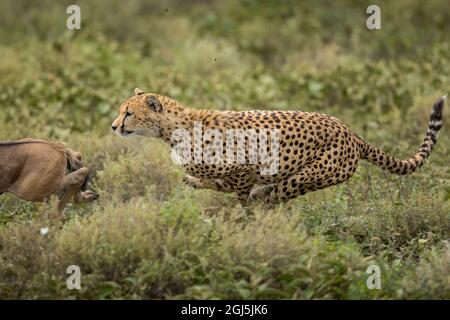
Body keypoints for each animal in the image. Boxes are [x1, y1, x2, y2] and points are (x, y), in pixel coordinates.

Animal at [110, 88, 444, 205]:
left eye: (129, 113)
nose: (114, 126)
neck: (172, 130)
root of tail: (351, 132)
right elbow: (218, 183)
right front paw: (195, 182)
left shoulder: (244, 167)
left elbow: (237, 193)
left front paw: (241, 216)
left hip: (312, 174)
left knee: (277, 195)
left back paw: (262, 201)